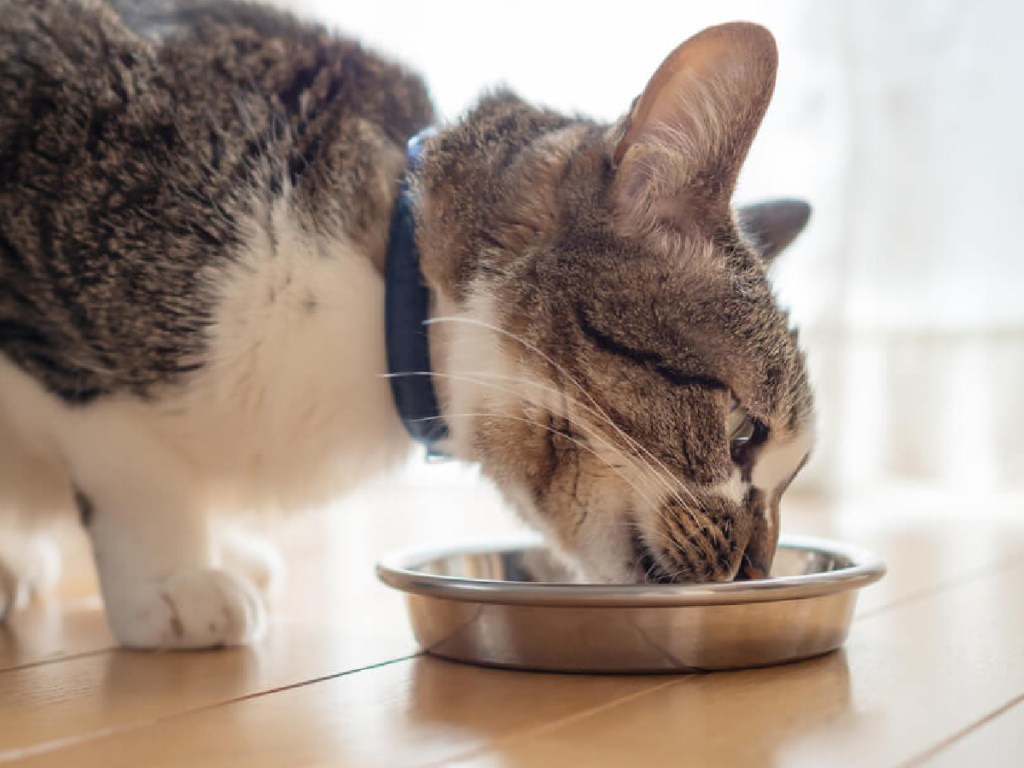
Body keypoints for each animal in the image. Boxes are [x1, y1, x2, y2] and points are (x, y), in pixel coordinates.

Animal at [0, 0, 815, 651]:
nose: (758, 567)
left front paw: (217, 549)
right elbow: (133, 461)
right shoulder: (61, 330)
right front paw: (174, 578)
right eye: (743, 434)